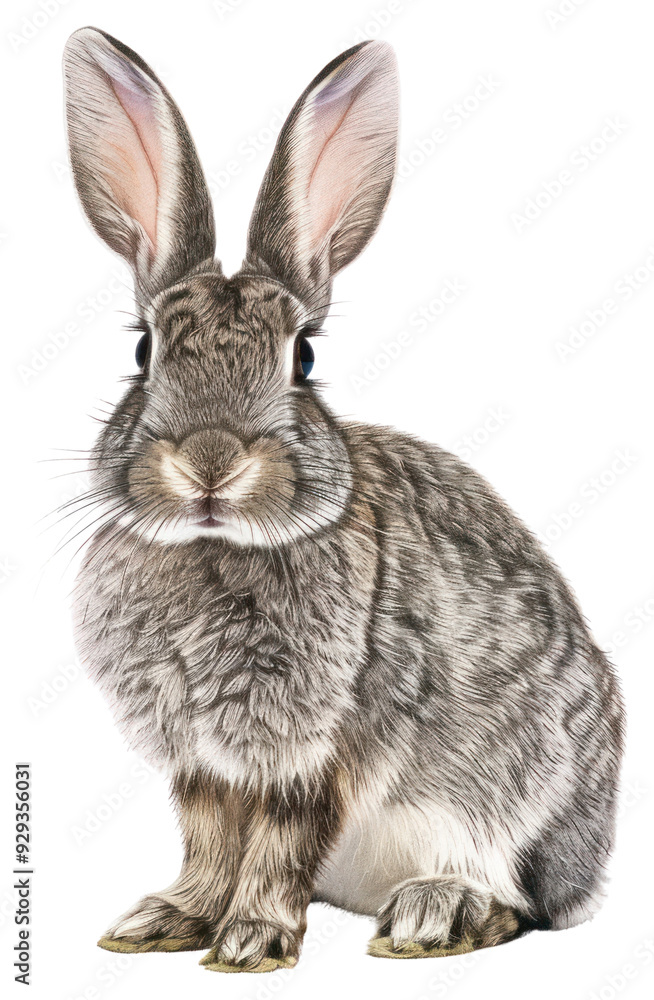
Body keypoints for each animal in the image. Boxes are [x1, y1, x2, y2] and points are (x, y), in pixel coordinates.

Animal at [63, 27, 624, 973]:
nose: (211, 461)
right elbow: (209, 842)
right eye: (144, 352)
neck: (220, 548)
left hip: (517, 794)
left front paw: (249, 942)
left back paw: (437, 913)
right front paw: (166, 921)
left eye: (305, 359)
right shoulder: (204, 763)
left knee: (519, 899)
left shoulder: (321, 744)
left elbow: (279, 845)